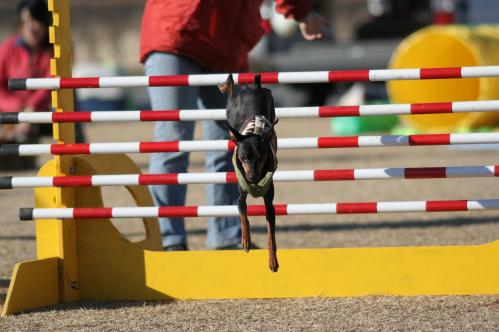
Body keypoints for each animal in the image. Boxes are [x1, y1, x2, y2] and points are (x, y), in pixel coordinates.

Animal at [220, 74, 280, 272]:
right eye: (244, 158)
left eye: (261, 157)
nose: (252, 177)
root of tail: (253, 86)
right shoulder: (240, 196)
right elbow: (243, 215)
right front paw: (246, 241)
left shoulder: (269, 204)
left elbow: (271, 236)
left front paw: (273, 261)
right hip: (230, 107)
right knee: (231, 89)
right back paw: (228, 85)